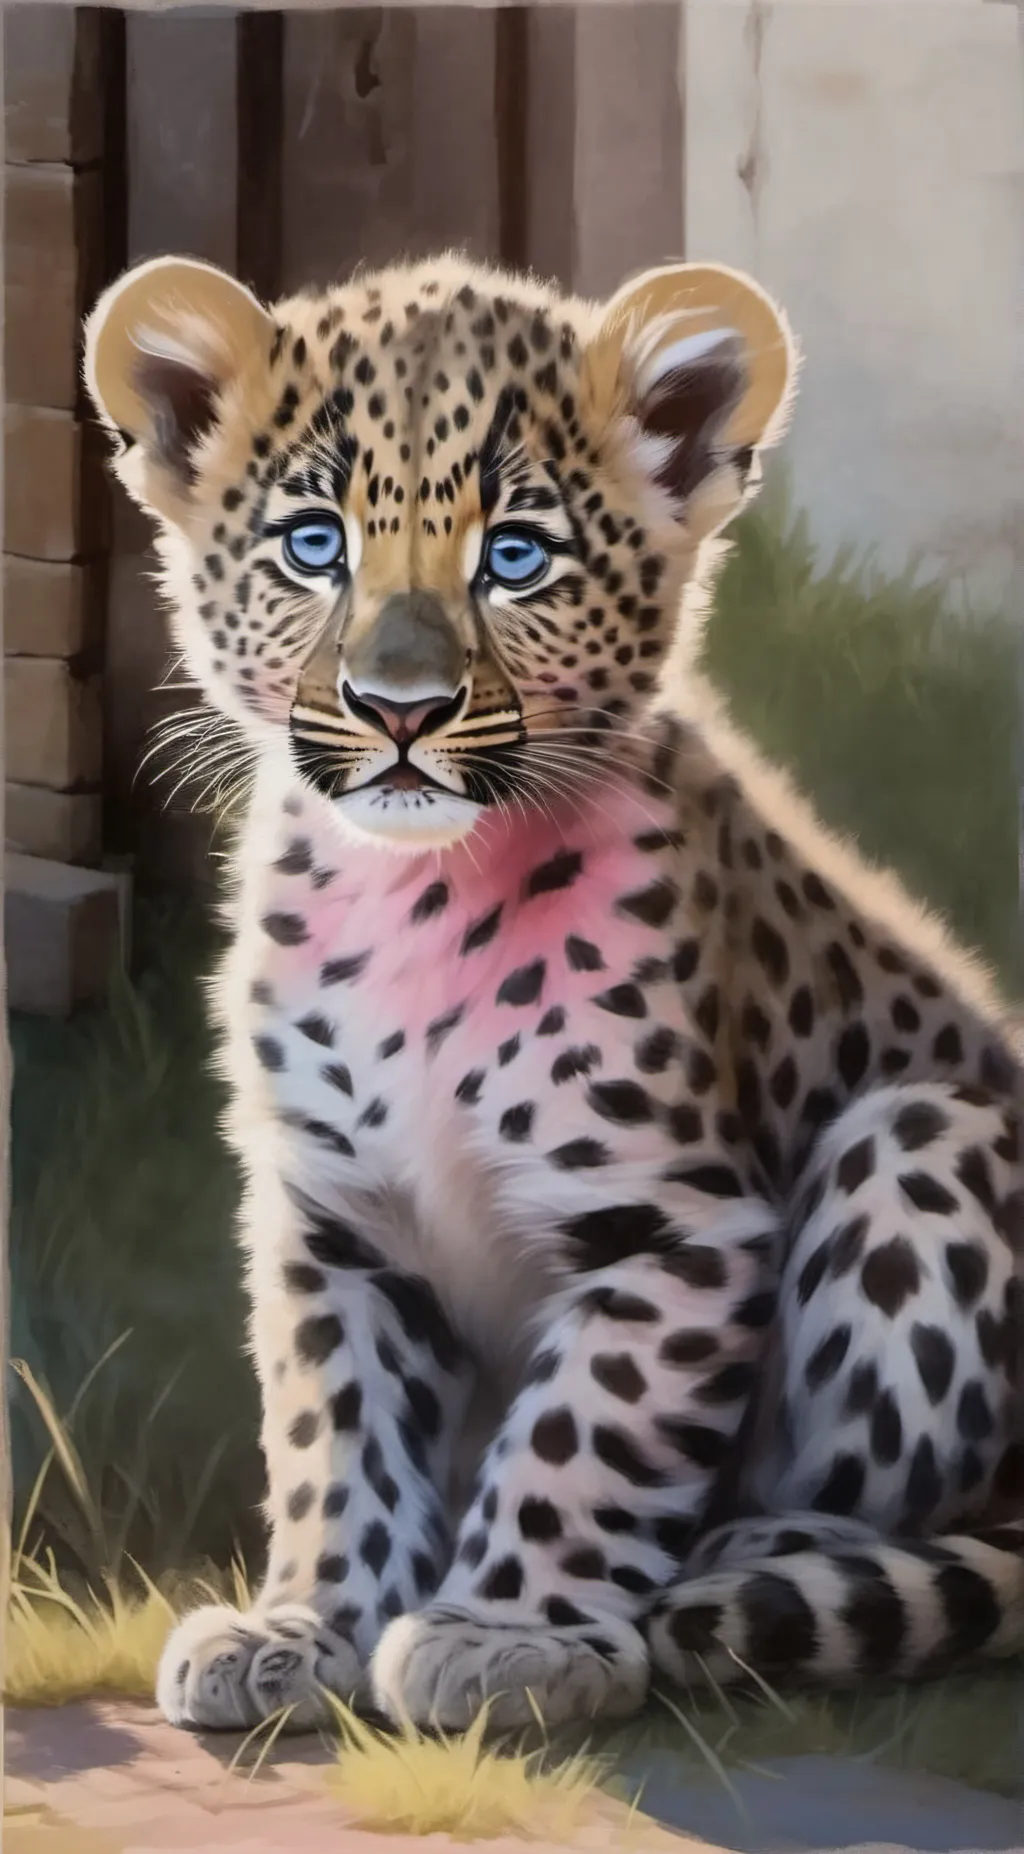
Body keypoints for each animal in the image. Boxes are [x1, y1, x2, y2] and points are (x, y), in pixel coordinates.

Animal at [83, 249, 1024, 1737]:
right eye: (313, 545)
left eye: (515, 556)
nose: (397, 707)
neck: (415, 901)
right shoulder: (334, 1214)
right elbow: (337, 1429)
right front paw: (306, 1627)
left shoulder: (674, 1226)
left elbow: (587, 1432)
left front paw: (508, 1637)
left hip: (926, 1132)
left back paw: (733, 1568)